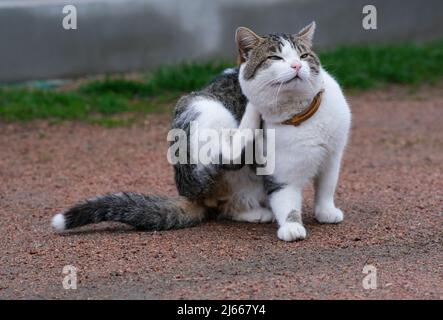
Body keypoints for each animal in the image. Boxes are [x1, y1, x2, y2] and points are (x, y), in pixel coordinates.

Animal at [51, 22, 350, 241]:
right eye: (275, 57)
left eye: (304, 55)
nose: (297, 66)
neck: (300, 117)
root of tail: (190, 193)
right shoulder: (279, 174)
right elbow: (286, 201)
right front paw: (291, 226)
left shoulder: (333, 156)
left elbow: (327, 185)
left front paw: (326, 211)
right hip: (204, 108)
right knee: (227, 160)